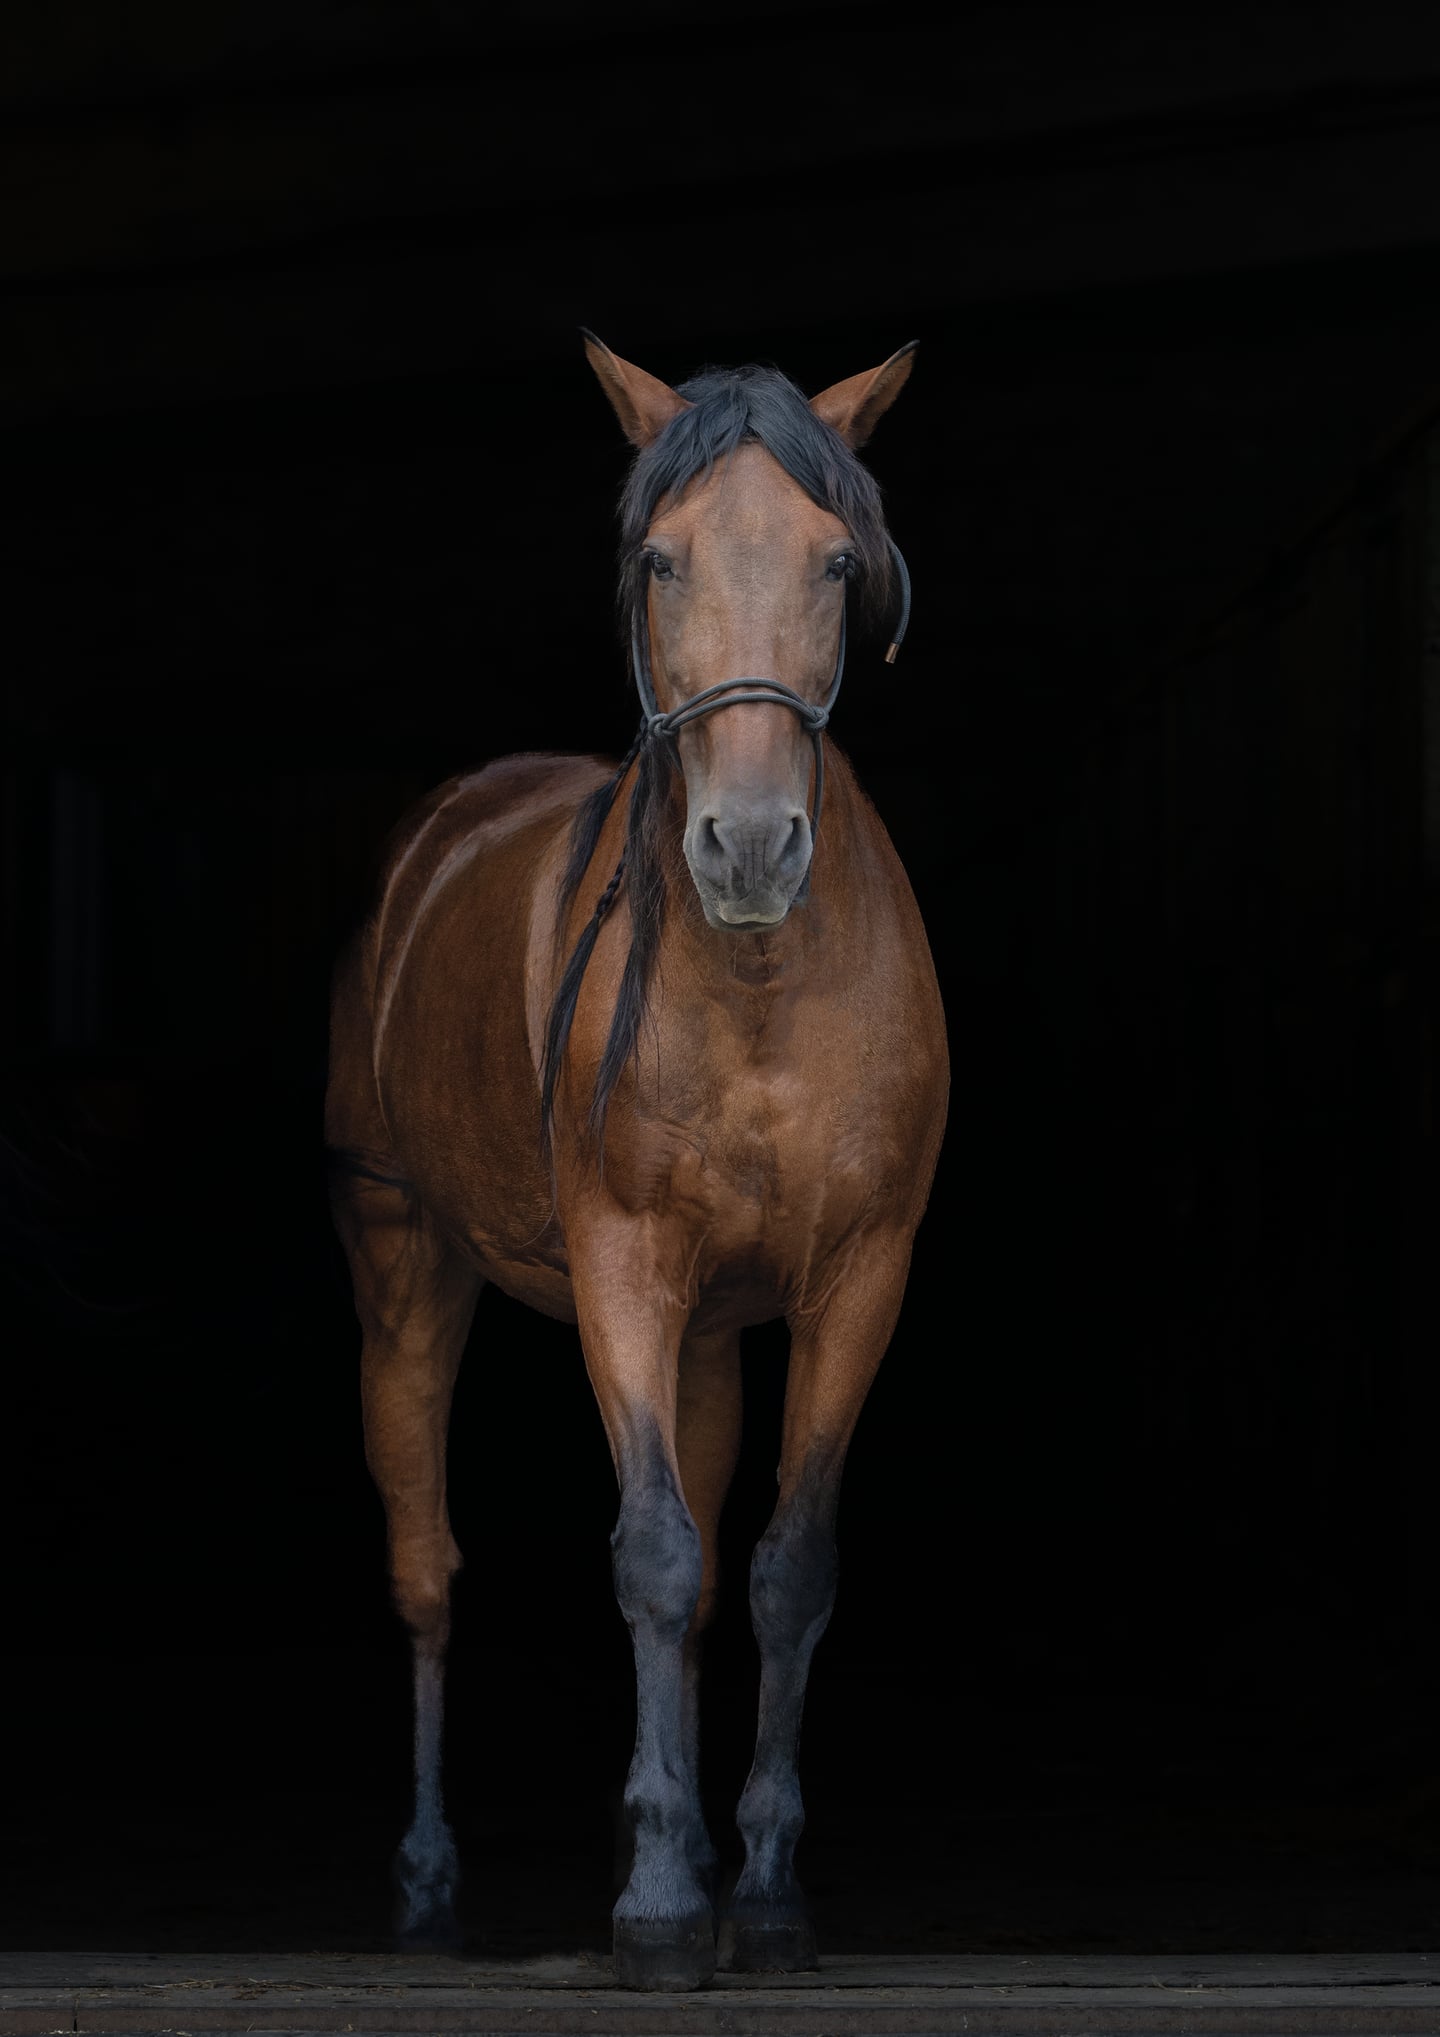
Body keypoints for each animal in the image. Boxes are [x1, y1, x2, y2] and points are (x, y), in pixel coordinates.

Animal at [325, 332, 949, 1990]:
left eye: (837, 558)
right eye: (660, 559)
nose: (750, 847)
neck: (760, 989)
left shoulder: (860, 1276)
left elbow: (783, 1569)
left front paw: (764, 1897)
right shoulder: (622, 1264)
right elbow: (654, 1555)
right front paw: (665, 1907)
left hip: (715, 1333)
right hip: (406, 1274)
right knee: (428, 1571)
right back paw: (425, 1888)